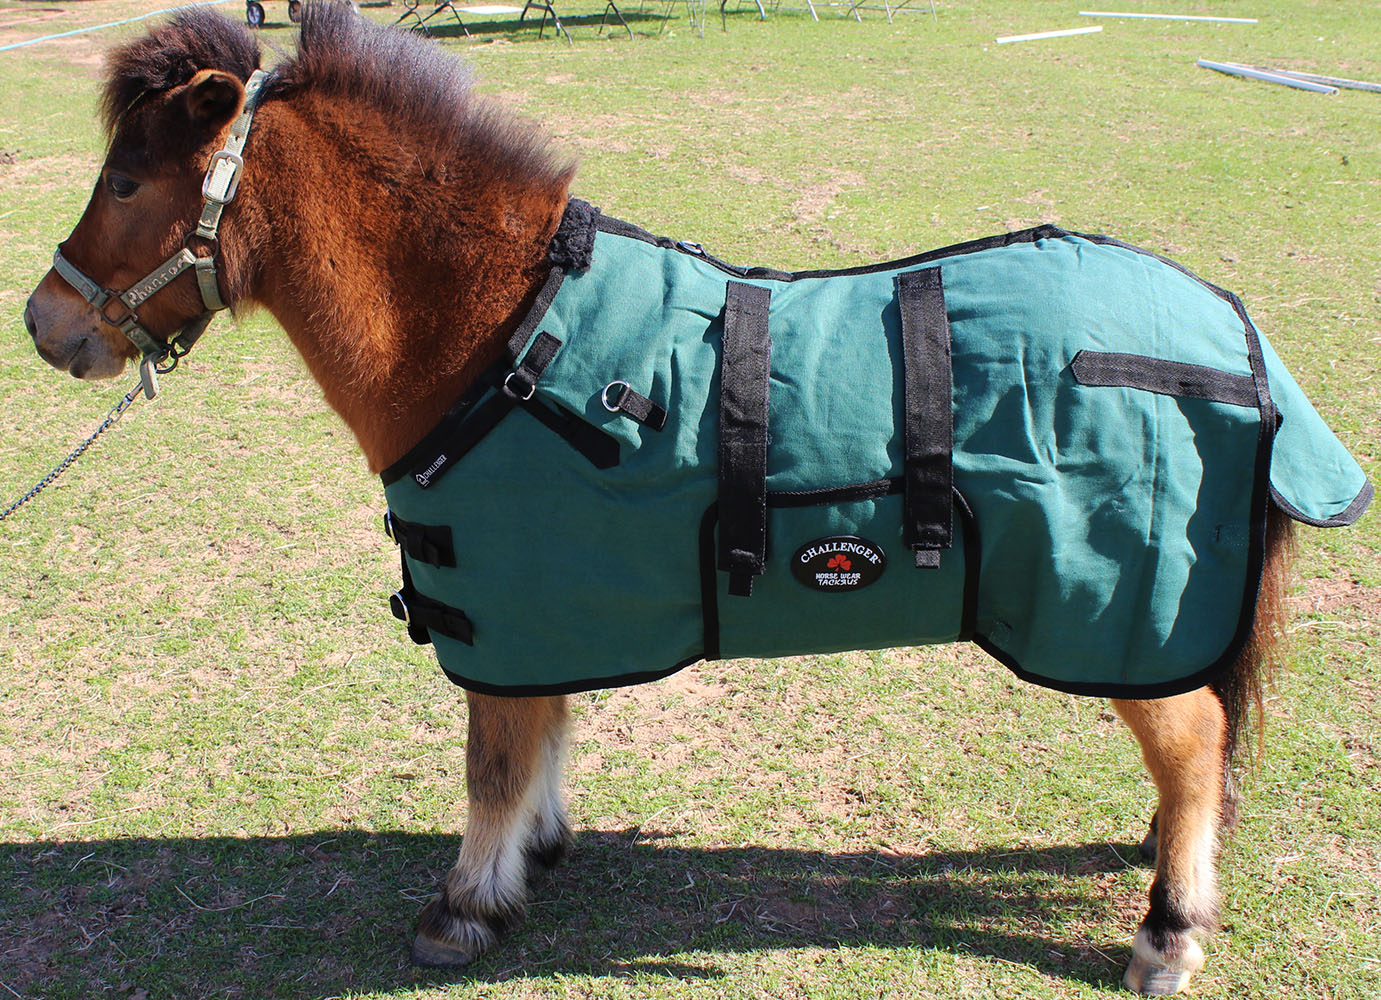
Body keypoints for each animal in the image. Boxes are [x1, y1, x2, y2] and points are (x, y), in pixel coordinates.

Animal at [20, 5, 1370, 994]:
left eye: (129, 181)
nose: (44, 325)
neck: (497, 337)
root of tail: (1233, 332)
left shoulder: (508, 610)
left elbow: (492, 760)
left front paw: (465, 907)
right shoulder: (540, 612)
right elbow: (541, 733)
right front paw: (533, 858)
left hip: (1111, 617)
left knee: (1189, 737)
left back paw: (1167, 929)